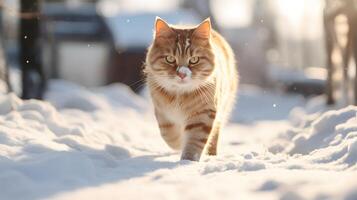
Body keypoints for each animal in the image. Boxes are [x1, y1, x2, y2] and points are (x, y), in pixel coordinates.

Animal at [143, 17, 238, 161]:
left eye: (194, 60)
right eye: (170, 59)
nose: (182, 74)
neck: (179, 95)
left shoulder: (203, 113)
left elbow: (195, 140)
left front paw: (188, 160)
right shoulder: (162, 112)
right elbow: (168, 134)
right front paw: (179, 143)